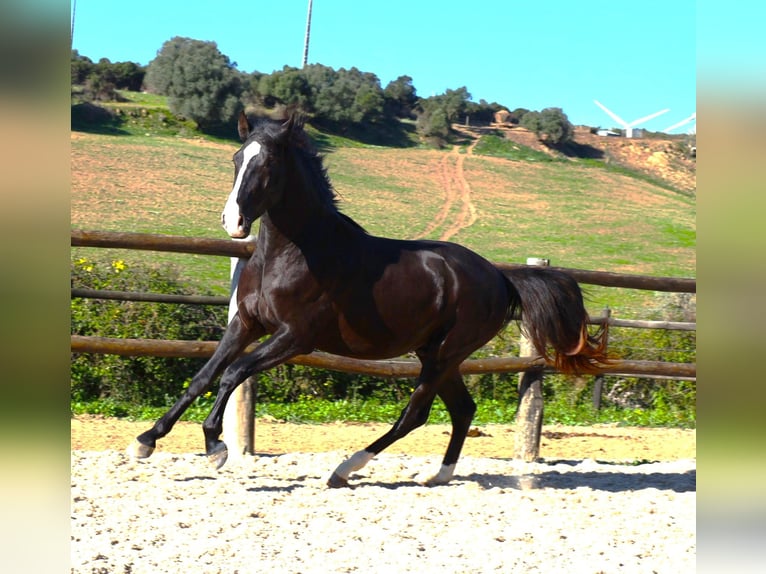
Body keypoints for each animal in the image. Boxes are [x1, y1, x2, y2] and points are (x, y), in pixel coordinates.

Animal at [132, 112, 612, 490]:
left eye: (266, 163)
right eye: (236, 158)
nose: (233, 221)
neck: (292, 253)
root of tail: (499, 275)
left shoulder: (295, 338)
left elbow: (232, 373)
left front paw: (215, 445)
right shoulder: (247, 324)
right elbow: (202, 376)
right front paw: (146, 441)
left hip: (445, 353)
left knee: (415, 414)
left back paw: (345, 469)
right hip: (436, 353)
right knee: (462, 409)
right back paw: (436, 475)